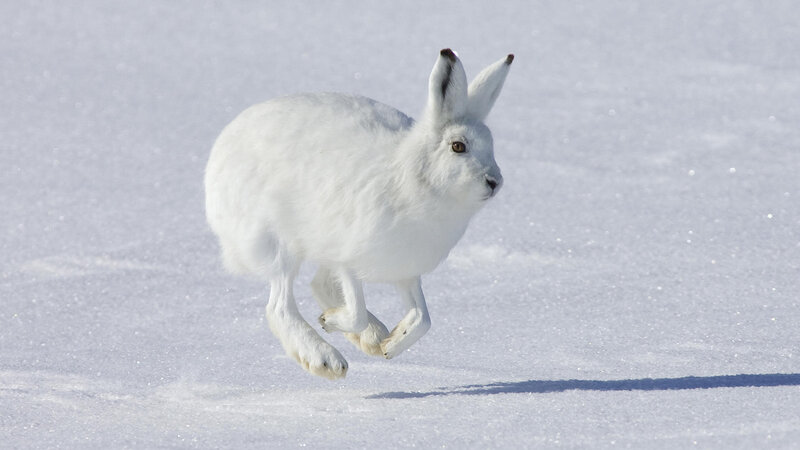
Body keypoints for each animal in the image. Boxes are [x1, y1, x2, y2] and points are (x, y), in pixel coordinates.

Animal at [205, 49, 513, 379]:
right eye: (458, 146)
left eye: (491, 145)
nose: (494, 181)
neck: (415, 180)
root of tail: (219, 156)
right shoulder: (347, 258)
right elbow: (356, 312)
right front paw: (330, 323)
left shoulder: (406, 271)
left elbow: (423, 318)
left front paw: (390, 345)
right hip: (278, 243)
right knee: (280, 306)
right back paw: (325, 359)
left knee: (318, 286)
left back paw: (374, 337)